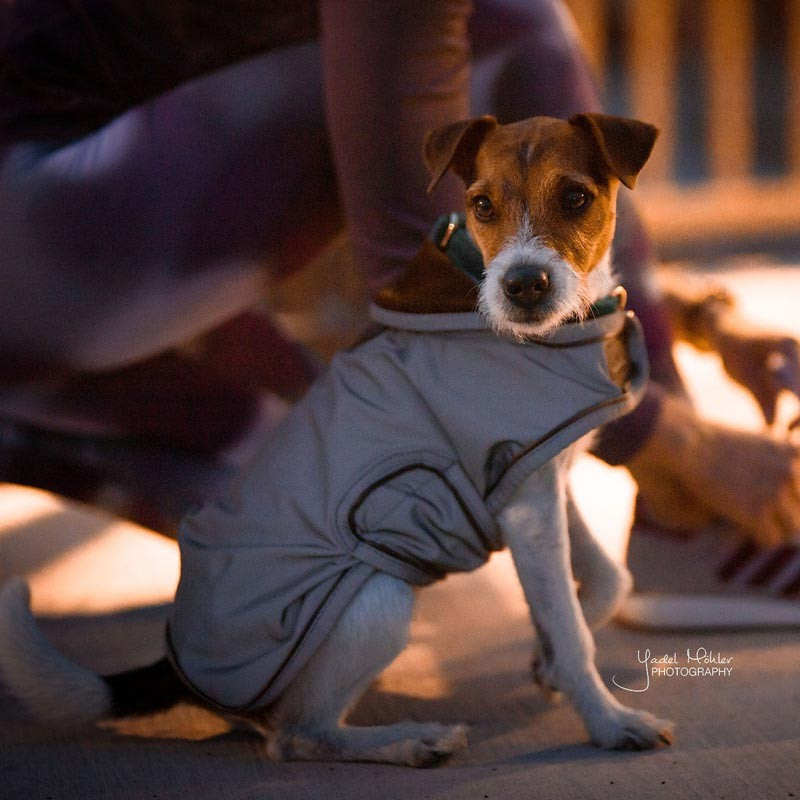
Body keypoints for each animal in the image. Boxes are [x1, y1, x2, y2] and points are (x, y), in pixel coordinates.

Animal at [0, 111, 676, 764]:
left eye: (575, 197)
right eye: (482, 206)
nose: (523, 285)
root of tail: (176, 666)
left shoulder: (537, 478)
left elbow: (602, 583)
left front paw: (547, 662)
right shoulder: (528, 504)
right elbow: (572, 626)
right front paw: (608, 722)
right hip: (382, 595)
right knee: (298, 736)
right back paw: (410, 741)